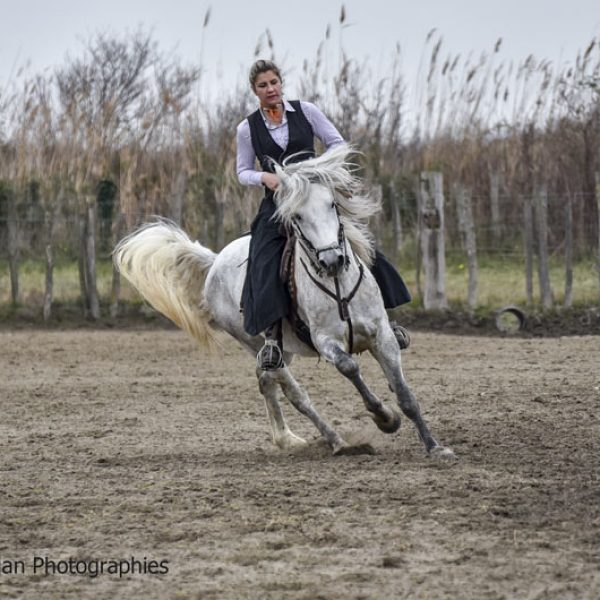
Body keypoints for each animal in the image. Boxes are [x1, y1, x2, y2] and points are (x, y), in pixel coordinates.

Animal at [115, 146, 454, 460]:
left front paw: (435, 447)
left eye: (333, 205)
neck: (337, 284)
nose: (332, 260)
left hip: (281, 351)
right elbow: (349, 366)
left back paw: (287, 438)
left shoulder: (381, 335)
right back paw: (337, 442)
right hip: (255, 343)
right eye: (298, 217)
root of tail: (215, 262)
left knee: (265, 380)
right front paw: (384, 418)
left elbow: (405, 393)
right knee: (295, 394)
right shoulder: (326, 341)